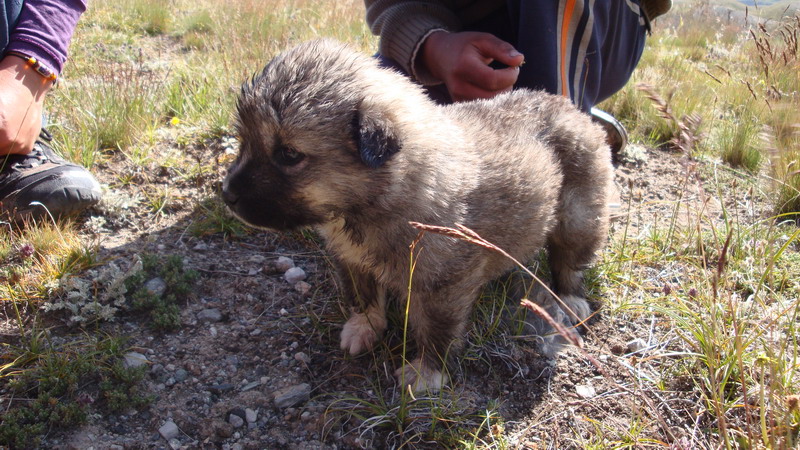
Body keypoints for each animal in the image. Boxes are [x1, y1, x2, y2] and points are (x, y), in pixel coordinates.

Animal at [222, 39, 612, 392]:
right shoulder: (352, 259)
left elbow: (436, 330)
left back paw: (570, 300)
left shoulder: (443, 286)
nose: (227, 195)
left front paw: (427, 372)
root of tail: (567, 106)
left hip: (580, 214)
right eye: (245, 140)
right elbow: (364, 297)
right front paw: (363, 327)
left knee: (570, 260)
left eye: (288, 154)